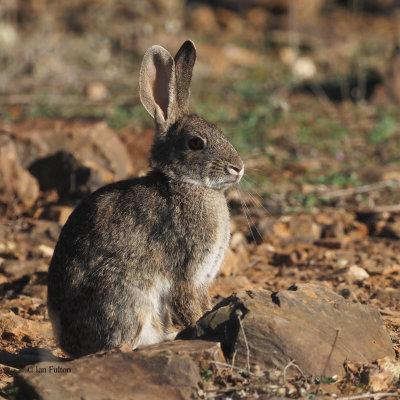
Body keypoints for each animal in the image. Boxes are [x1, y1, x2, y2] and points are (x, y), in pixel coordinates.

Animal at [48, 40, 245, 358]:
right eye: (195, 143)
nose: (238, 168)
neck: (185, 184)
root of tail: (71, 345)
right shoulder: (186, 270)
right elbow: (189, 306)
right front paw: (202, 325)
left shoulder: (203, 278)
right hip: (126, 296)